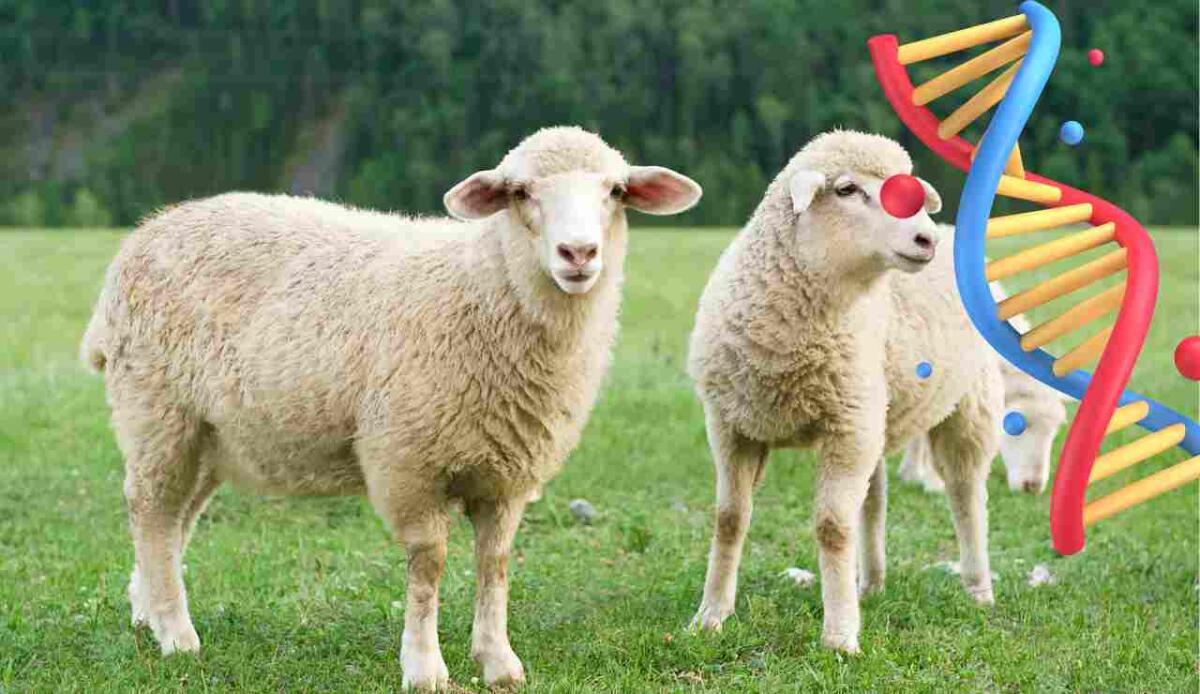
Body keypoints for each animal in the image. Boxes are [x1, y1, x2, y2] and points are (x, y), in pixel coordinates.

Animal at [80, 126, 701, 690]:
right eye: (521, 191)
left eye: (617, 190)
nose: (578, 254)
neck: (484, 290)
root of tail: (147, 232)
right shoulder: (409, 462)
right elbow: (428, 565)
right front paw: (424, 668)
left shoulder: (508, 473)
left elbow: (495, 563)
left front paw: (498, 662)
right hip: (156, 411)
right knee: (152, 511)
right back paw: (176, 635)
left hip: (211, 434)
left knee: (176, 519)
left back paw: (148, 610)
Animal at [687, 130, 1003, 654]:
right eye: (847, 190)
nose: (927, 239)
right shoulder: (732, 425)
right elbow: (729, 518)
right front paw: (711, 615)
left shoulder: (846, 427)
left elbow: (832, 528)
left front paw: (839, 636)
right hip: (875, 411)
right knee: (874, 500)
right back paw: (869, 584)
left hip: (968, 405)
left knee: (966, 493)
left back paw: (978, 588)